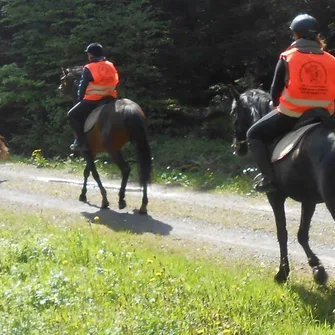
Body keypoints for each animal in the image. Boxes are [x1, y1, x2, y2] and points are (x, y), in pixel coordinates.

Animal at [59, 66, 152, 214]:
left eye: (63, 79)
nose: (59, 88)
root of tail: (129, 108)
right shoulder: (92, 151)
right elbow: (87, 172)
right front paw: (83, 195)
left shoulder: (86, 151)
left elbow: (94, 173)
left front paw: (104, 200)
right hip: (139, 143)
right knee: (144, 171)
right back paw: (143, 205)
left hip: (113, 149)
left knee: (126, 169)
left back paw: (121, 199)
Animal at [230, 85, 335, 284]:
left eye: (233, 114)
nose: (236, 148)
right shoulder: (308, 200)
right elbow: (302, 234)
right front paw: (318, 270)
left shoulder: (275, 196)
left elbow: (282, 233)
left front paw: (282, 273)